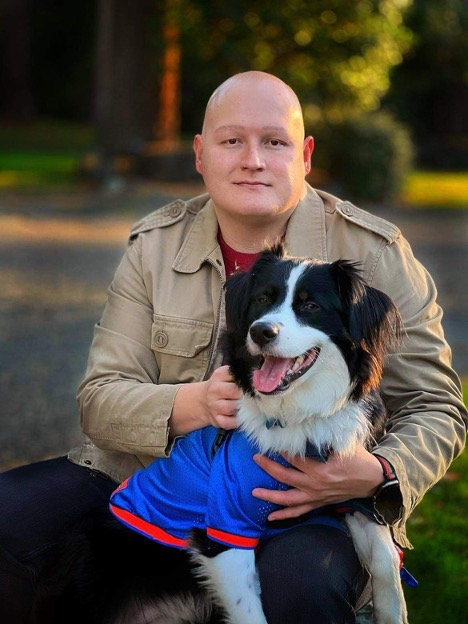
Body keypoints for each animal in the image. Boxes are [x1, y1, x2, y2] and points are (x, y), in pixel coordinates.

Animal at [105, 244, 410, 624]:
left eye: (311, 306)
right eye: (263, 299)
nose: (261, 332)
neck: (298, 414)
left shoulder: (351, 492)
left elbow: (385, 557)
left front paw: (393, 611)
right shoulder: (226, 526)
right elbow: (249, 612)